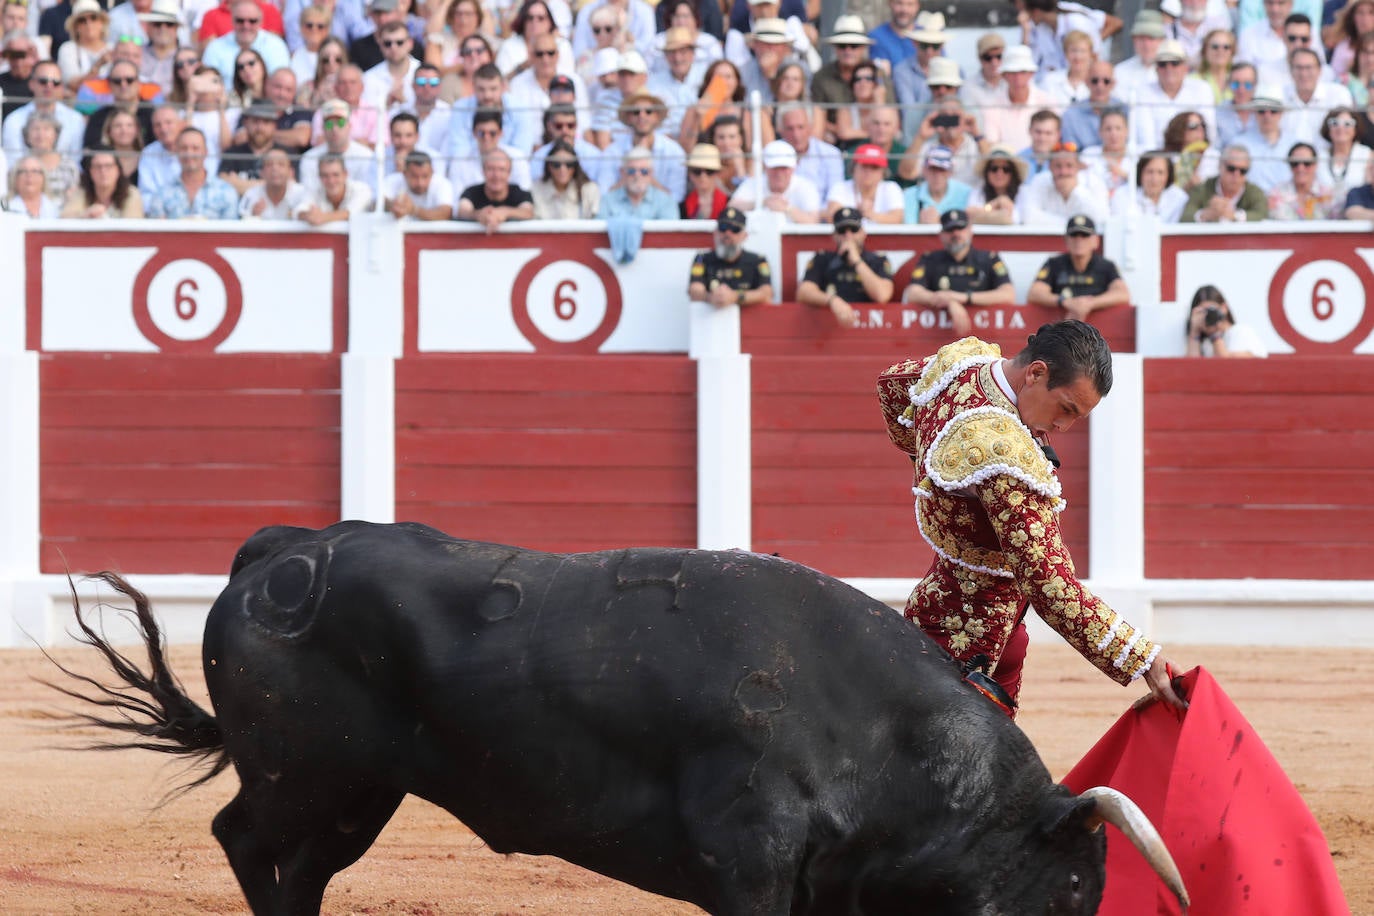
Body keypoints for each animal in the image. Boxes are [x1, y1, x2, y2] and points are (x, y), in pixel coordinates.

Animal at [53, 521, 1187, 916]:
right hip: (308, 775)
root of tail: (279, 551)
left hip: (359, 792)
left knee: (295, 865)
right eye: (1068, 892)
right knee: (245, 840)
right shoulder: (749, 865)